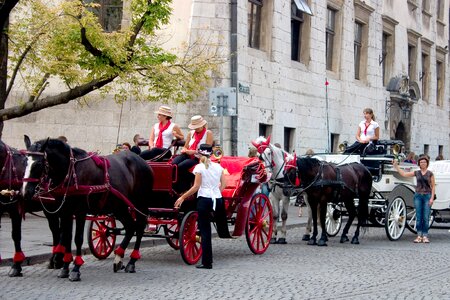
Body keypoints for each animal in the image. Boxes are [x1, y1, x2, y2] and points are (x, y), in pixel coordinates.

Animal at [0, 141, 64, 276]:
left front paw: (16, 266)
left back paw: (58, 259)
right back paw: (55, 260)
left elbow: (16, 235)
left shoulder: (15, 210)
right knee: (56, 230)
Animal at [22, 137, 154, 280]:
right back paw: (119, 258)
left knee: (139, 227)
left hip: (140, 203)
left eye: (38, 164)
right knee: (130, 227)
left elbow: (78, 238)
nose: (25, 192)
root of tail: (142, 161)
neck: (72, 172)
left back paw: (131, 262)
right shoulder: (65, 212)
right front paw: (65, 267)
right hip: (120, 206)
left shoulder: (80, 211)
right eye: (24, 162)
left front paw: (75, 269)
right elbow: (66, 237)